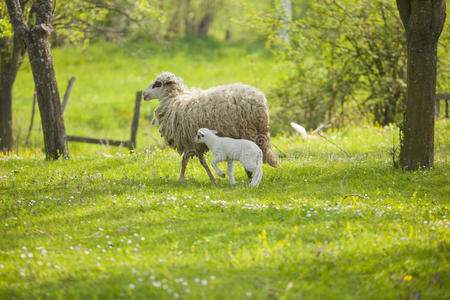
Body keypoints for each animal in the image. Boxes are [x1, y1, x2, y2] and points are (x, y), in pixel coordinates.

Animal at [144, 71, 278, 182]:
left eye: (157, 84)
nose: (144, 94)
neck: (174, 99)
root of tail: (260, 101)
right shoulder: (196, 142)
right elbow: (200, 160)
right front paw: (213, 178)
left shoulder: (189, 141)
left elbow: (187, 161)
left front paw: (181, 179)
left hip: (247, 131)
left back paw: (250, 178)